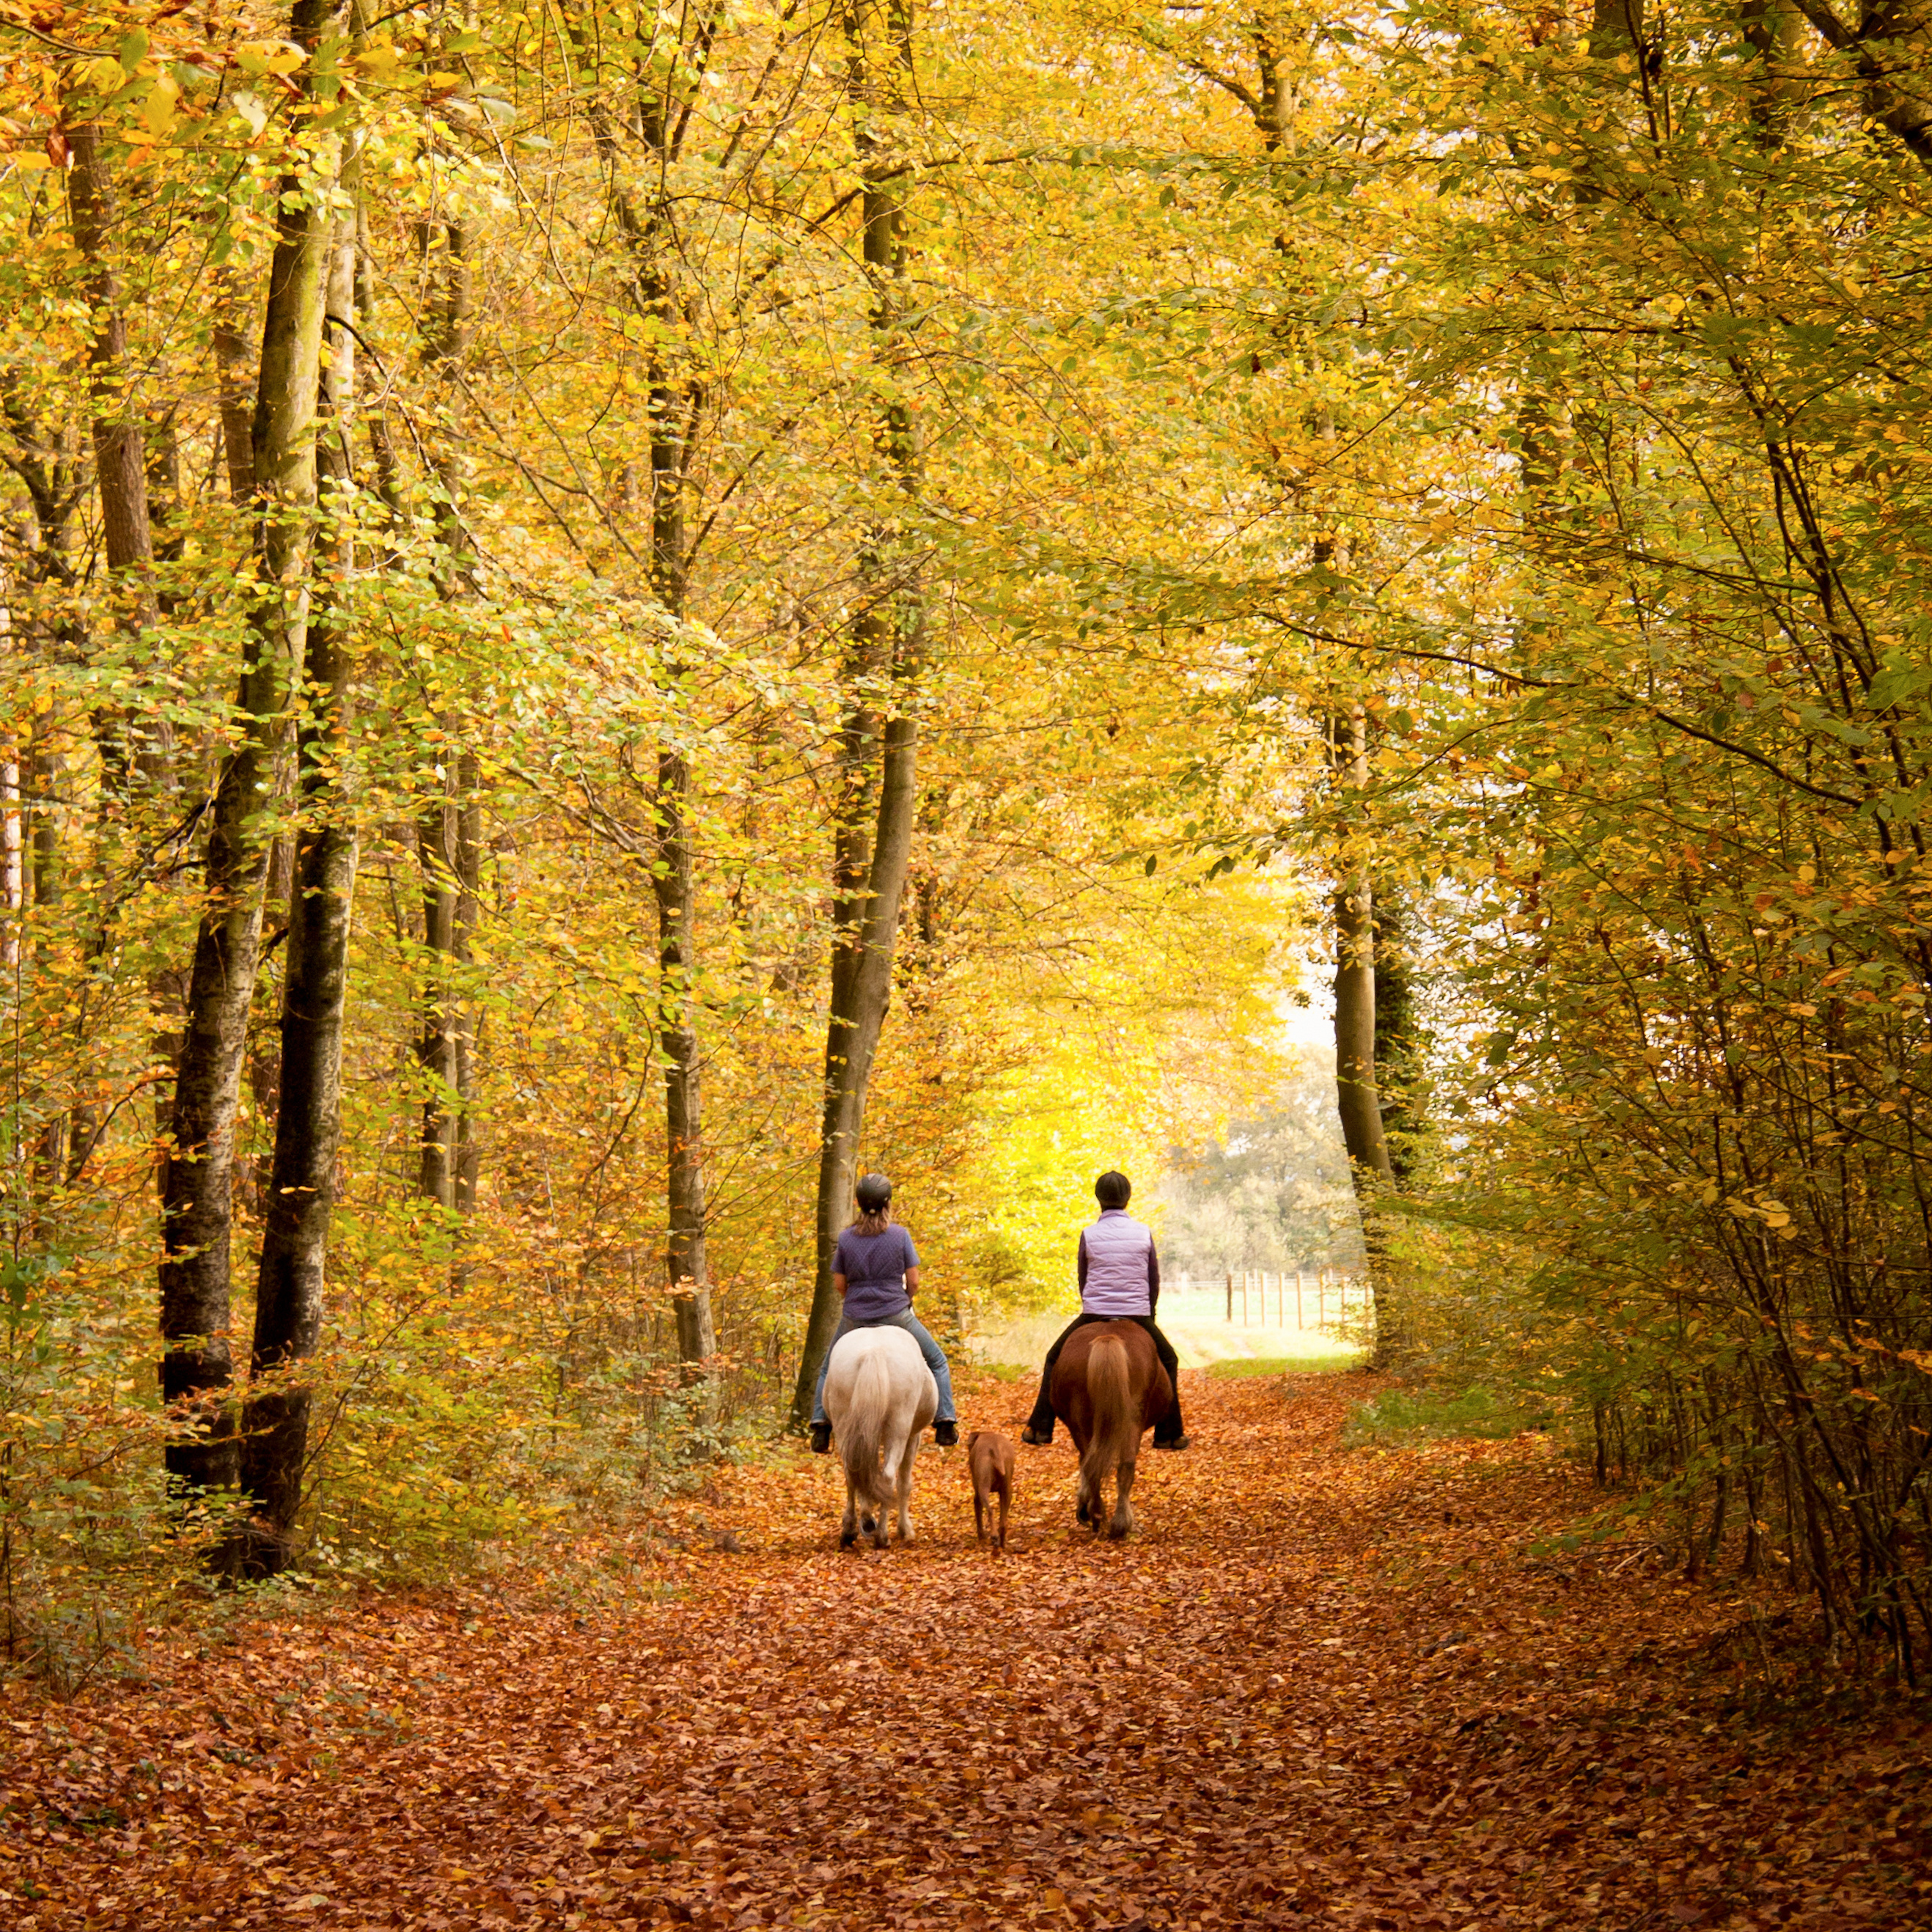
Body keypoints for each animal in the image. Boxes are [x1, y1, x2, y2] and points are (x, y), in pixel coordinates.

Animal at [823, 1325, 937, 1550]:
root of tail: (873, 1353)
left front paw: (867, 1519)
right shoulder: (913, 1437)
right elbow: (905, 1484)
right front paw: (905, 1529)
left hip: (844, 1424)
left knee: (851, 1473)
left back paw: (851, 1530)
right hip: (899, 1429)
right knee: (888, 1476)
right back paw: (882, 1536)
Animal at [1049, 1320, 1172, 1539]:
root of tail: (1108, 1336)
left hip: (1081, 1421)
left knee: (1095, 1464)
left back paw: (1102, 1517)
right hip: (1130, 1419)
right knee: (1116, 1465)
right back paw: (1114, 1521)